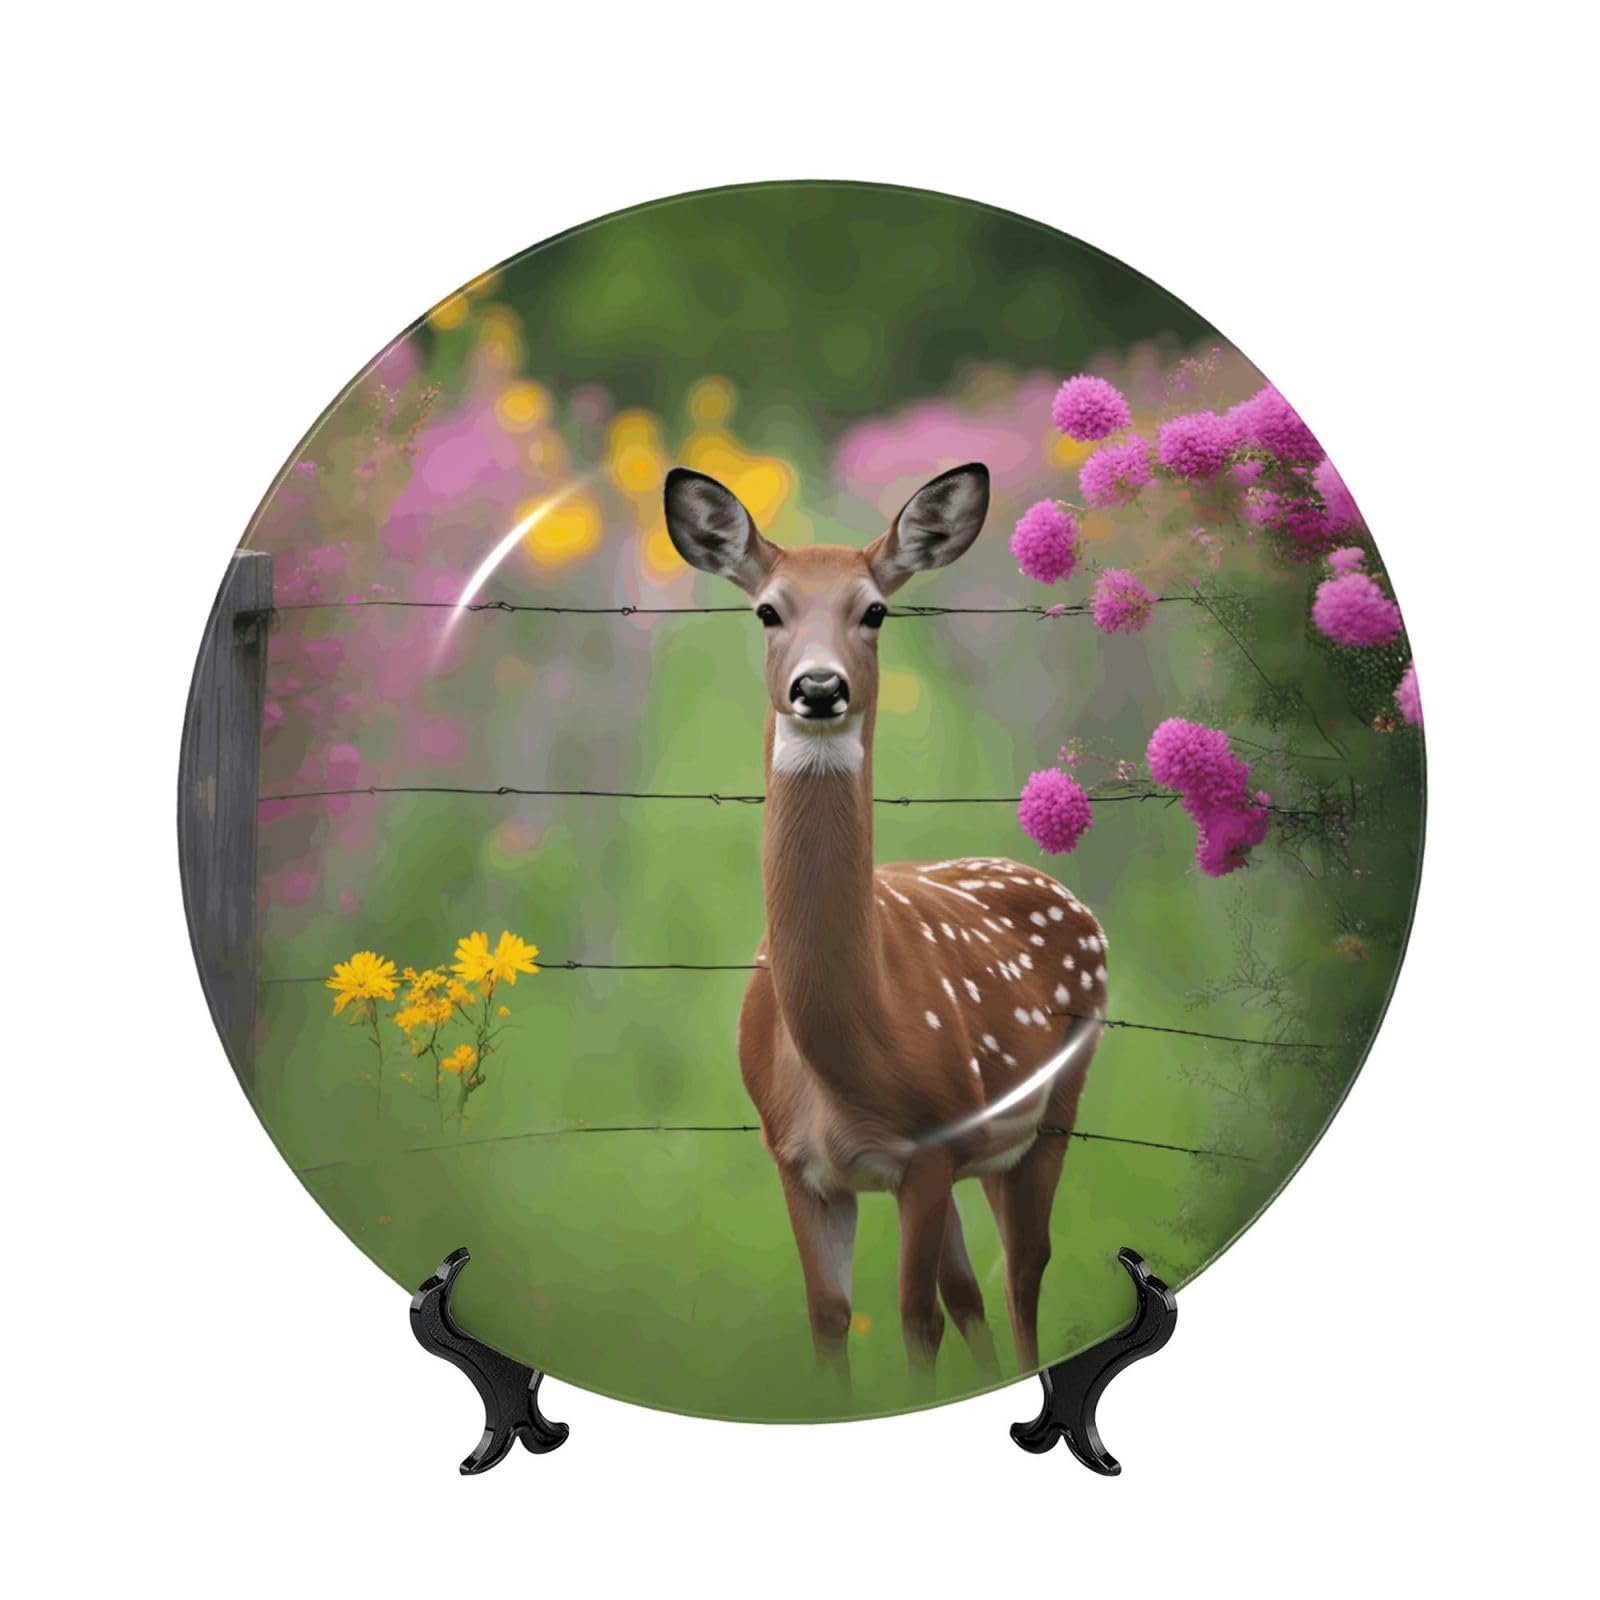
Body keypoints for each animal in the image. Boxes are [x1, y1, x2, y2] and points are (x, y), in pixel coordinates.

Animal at [663, 462, 1109, 1385]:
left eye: (874, 610)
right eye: (768, 610)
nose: (819, 687)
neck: (852, 1054)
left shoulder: (927, 1151)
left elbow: (914, 1318)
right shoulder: (796, 1161)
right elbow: (831, 1316)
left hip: (1051, 1107)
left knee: (1022, 1272)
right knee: (976, 1286)